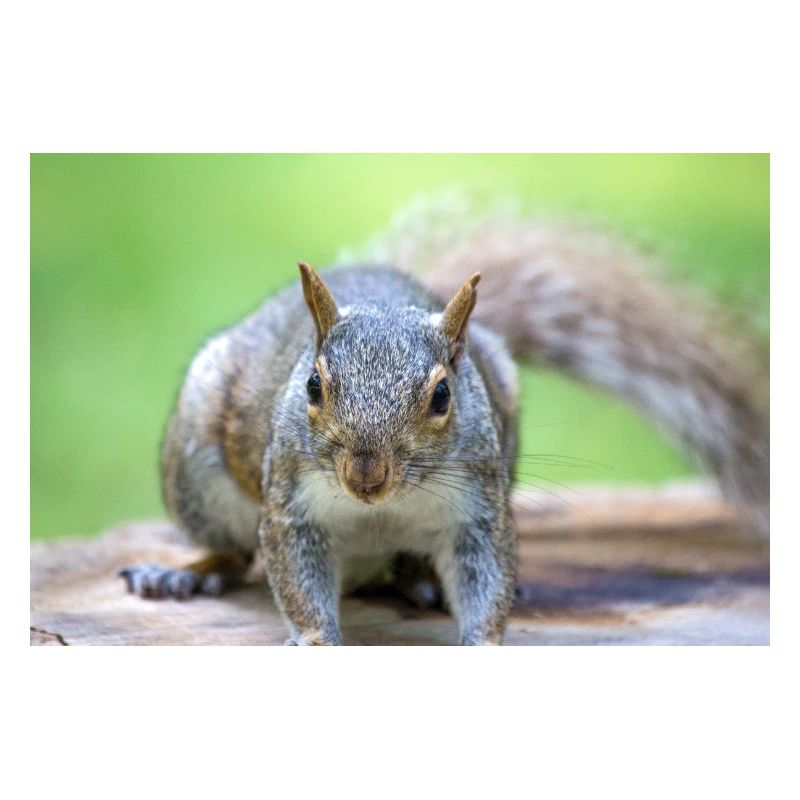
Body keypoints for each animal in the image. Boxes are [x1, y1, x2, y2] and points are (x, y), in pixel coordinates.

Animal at [118, 199, 769, 645]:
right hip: (197, 473)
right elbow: (294, 578)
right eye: (312, 386)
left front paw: (484, 637)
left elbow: (485, 576)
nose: (366, 476)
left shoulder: (477, 509)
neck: (378, 511)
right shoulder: (290, 502)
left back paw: (421, 581)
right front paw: (314, 639)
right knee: (232, 552)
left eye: (442, 396)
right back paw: (183, 575)